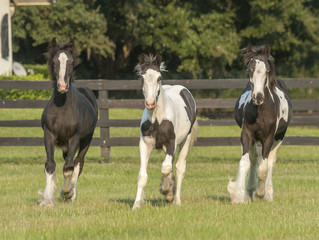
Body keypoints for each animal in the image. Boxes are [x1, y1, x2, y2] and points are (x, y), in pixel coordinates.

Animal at [38, 38, 97, 206]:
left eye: (70, 62)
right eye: (54, 62)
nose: (62, 86)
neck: (62, 108)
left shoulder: (74, 138)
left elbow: (69, 168)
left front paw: (66, 192)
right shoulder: (49, 135)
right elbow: (50, 165)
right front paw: (47, 199)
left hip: (86, 141)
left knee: (77, 163)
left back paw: (72, 195)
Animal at [132, 53, 198, 209]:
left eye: (159, 78)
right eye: (142, 78)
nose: (150, 103)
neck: (157, 119)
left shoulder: (171, 143)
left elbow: (166, 168)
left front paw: (166, 191)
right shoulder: (145, 144)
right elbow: (142, 176)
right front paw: (137, 204)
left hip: (185, 141)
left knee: (179, 167)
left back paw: (176, 200)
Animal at [228, 44, 292, 203]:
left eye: (267, 70)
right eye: (249, 69)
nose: (258, 97)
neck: (260, 112)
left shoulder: (268, 138)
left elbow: (263, 168)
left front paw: (261, 194)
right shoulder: (246, 135)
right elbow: (245, 163)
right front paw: (239, 196)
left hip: (278, 139)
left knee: (269, 162)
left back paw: (267, 194)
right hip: (255, 141)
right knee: (254, 160)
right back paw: (250, 191)